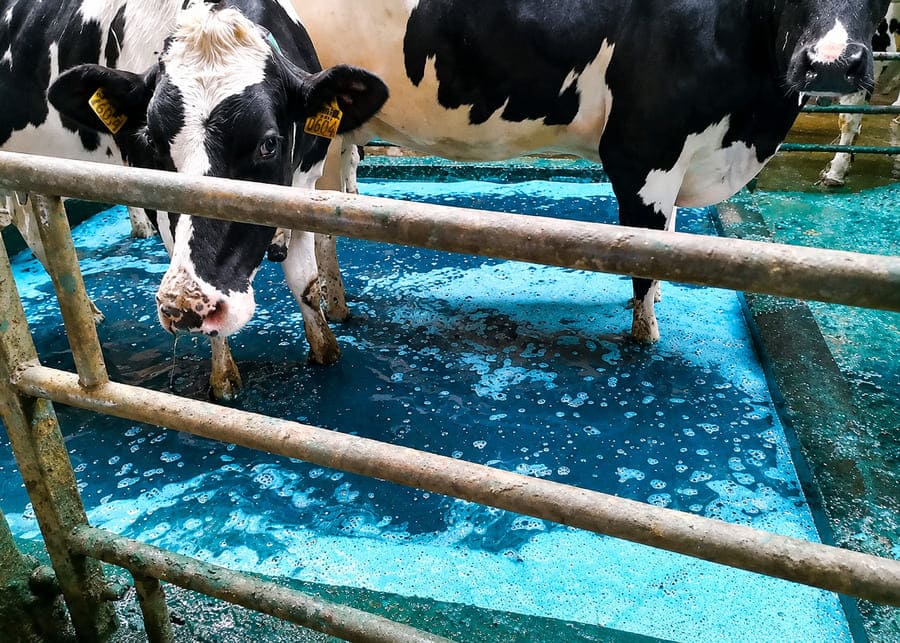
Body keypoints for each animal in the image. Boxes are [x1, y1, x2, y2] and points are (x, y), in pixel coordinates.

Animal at [29, 0, 387, 400]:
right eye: (151, 142)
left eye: (268, 144)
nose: (185, 306)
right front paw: (223, 379)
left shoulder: (306, 183)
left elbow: (305, 282)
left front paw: (326, 351)